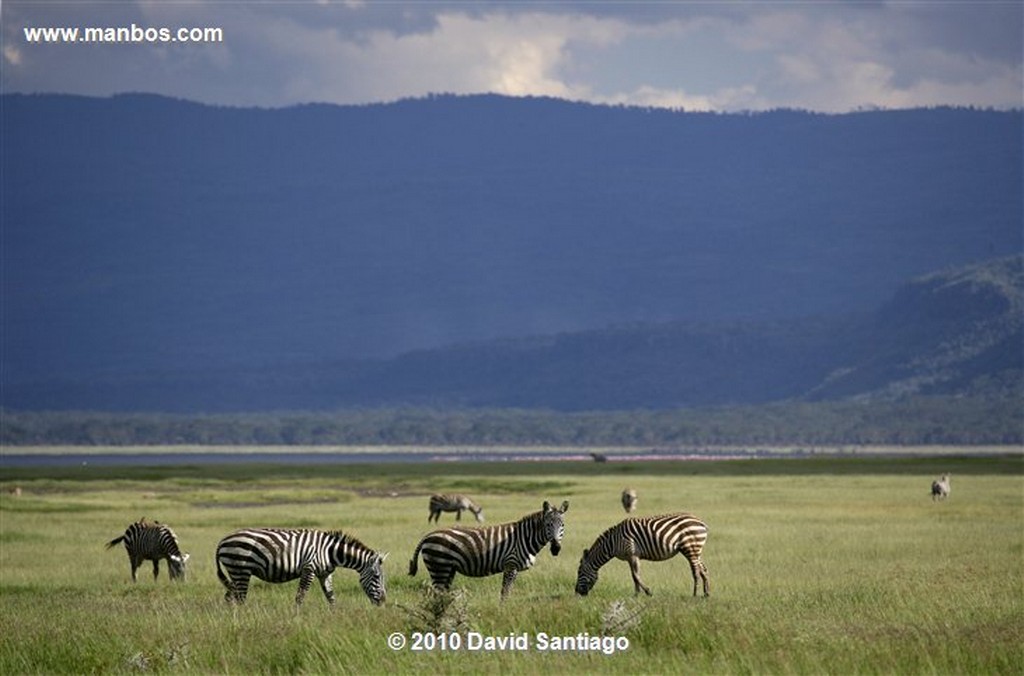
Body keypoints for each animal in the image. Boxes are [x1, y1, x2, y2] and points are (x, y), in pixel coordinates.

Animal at [216, 524, 387, 606]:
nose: (383, 601)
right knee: (240, 598)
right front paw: (297, 618)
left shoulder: (325, 573)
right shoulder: (309, 568)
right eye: (377, 576)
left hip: (235, 573)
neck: (330, 551)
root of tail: (222, 541)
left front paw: (335, 616)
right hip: (241, 570)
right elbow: (300, 596)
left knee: (229, 597)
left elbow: (331, 596)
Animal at [407, 499, 569, 598]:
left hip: (448, 569)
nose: (556, 548)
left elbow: (507, 592)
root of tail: (428, 535)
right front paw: (503, 613)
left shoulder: (515, 568)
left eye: (562, 525)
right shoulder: (510, 565)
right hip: (439, 566)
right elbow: (505, 593)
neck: (525, 537)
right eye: (548, 525)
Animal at [577, 512, 712, 598]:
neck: (613, 542)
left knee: (696, 571)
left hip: (690, 548)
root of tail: (701, 522)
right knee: (704, 569)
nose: (577, 593)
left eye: (579, 572)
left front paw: (647, 592)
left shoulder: (632, 553)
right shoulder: (631, 557)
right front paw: (636, 594)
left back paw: (694, 594)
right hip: (696, 550)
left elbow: (636, 576)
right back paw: (706, 593)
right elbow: (634, 575)